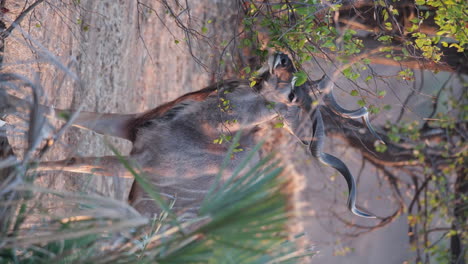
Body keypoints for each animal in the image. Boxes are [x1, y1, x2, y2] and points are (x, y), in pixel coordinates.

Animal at [1, 53, 382, 219]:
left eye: (291, 96)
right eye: (291, 86)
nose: (284, 57)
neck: (202, 131)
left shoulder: (136, 162)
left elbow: (73, 159)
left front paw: (17, 175)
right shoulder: (129, 126)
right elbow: (58, 112)